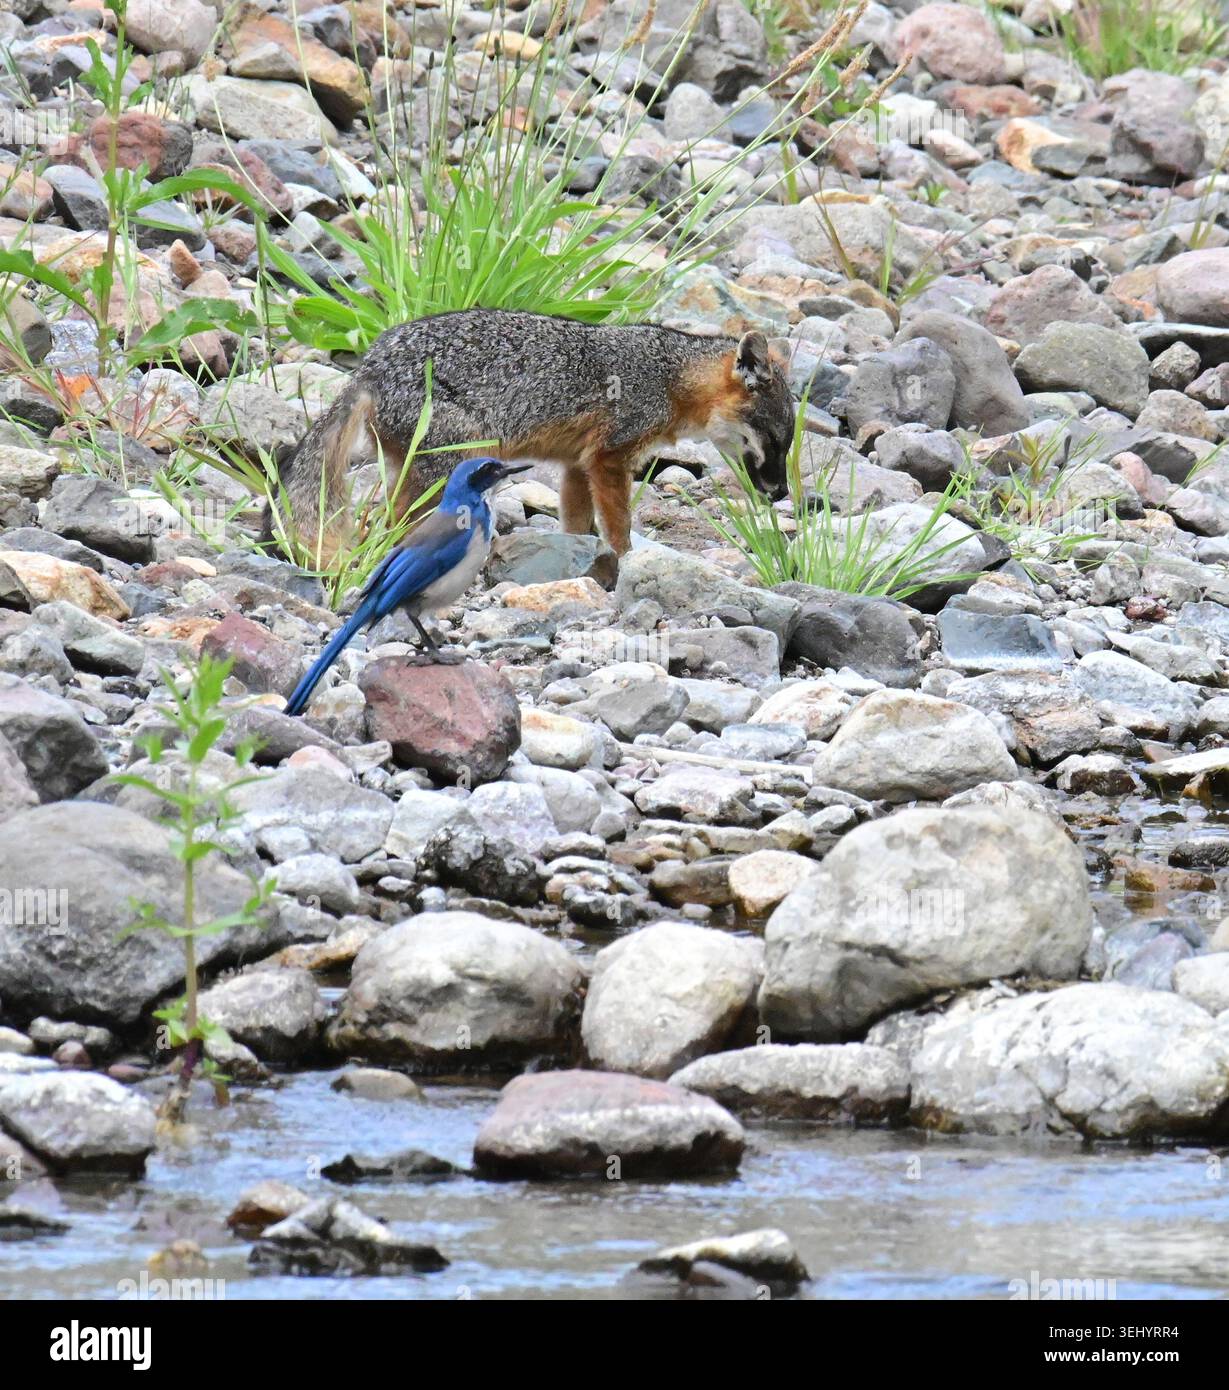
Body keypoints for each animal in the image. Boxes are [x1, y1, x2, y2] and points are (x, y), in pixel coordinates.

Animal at [266, 307, 796, 566]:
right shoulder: (609, 459)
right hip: (461, 463)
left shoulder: (576, 465)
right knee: (391, 524)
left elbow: (577, 525)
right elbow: (619, 525)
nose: (782, 493)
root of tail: (369, 367)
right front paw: (627, 561)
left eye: (788, 443)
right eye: (773, 439)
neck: (668, 377)